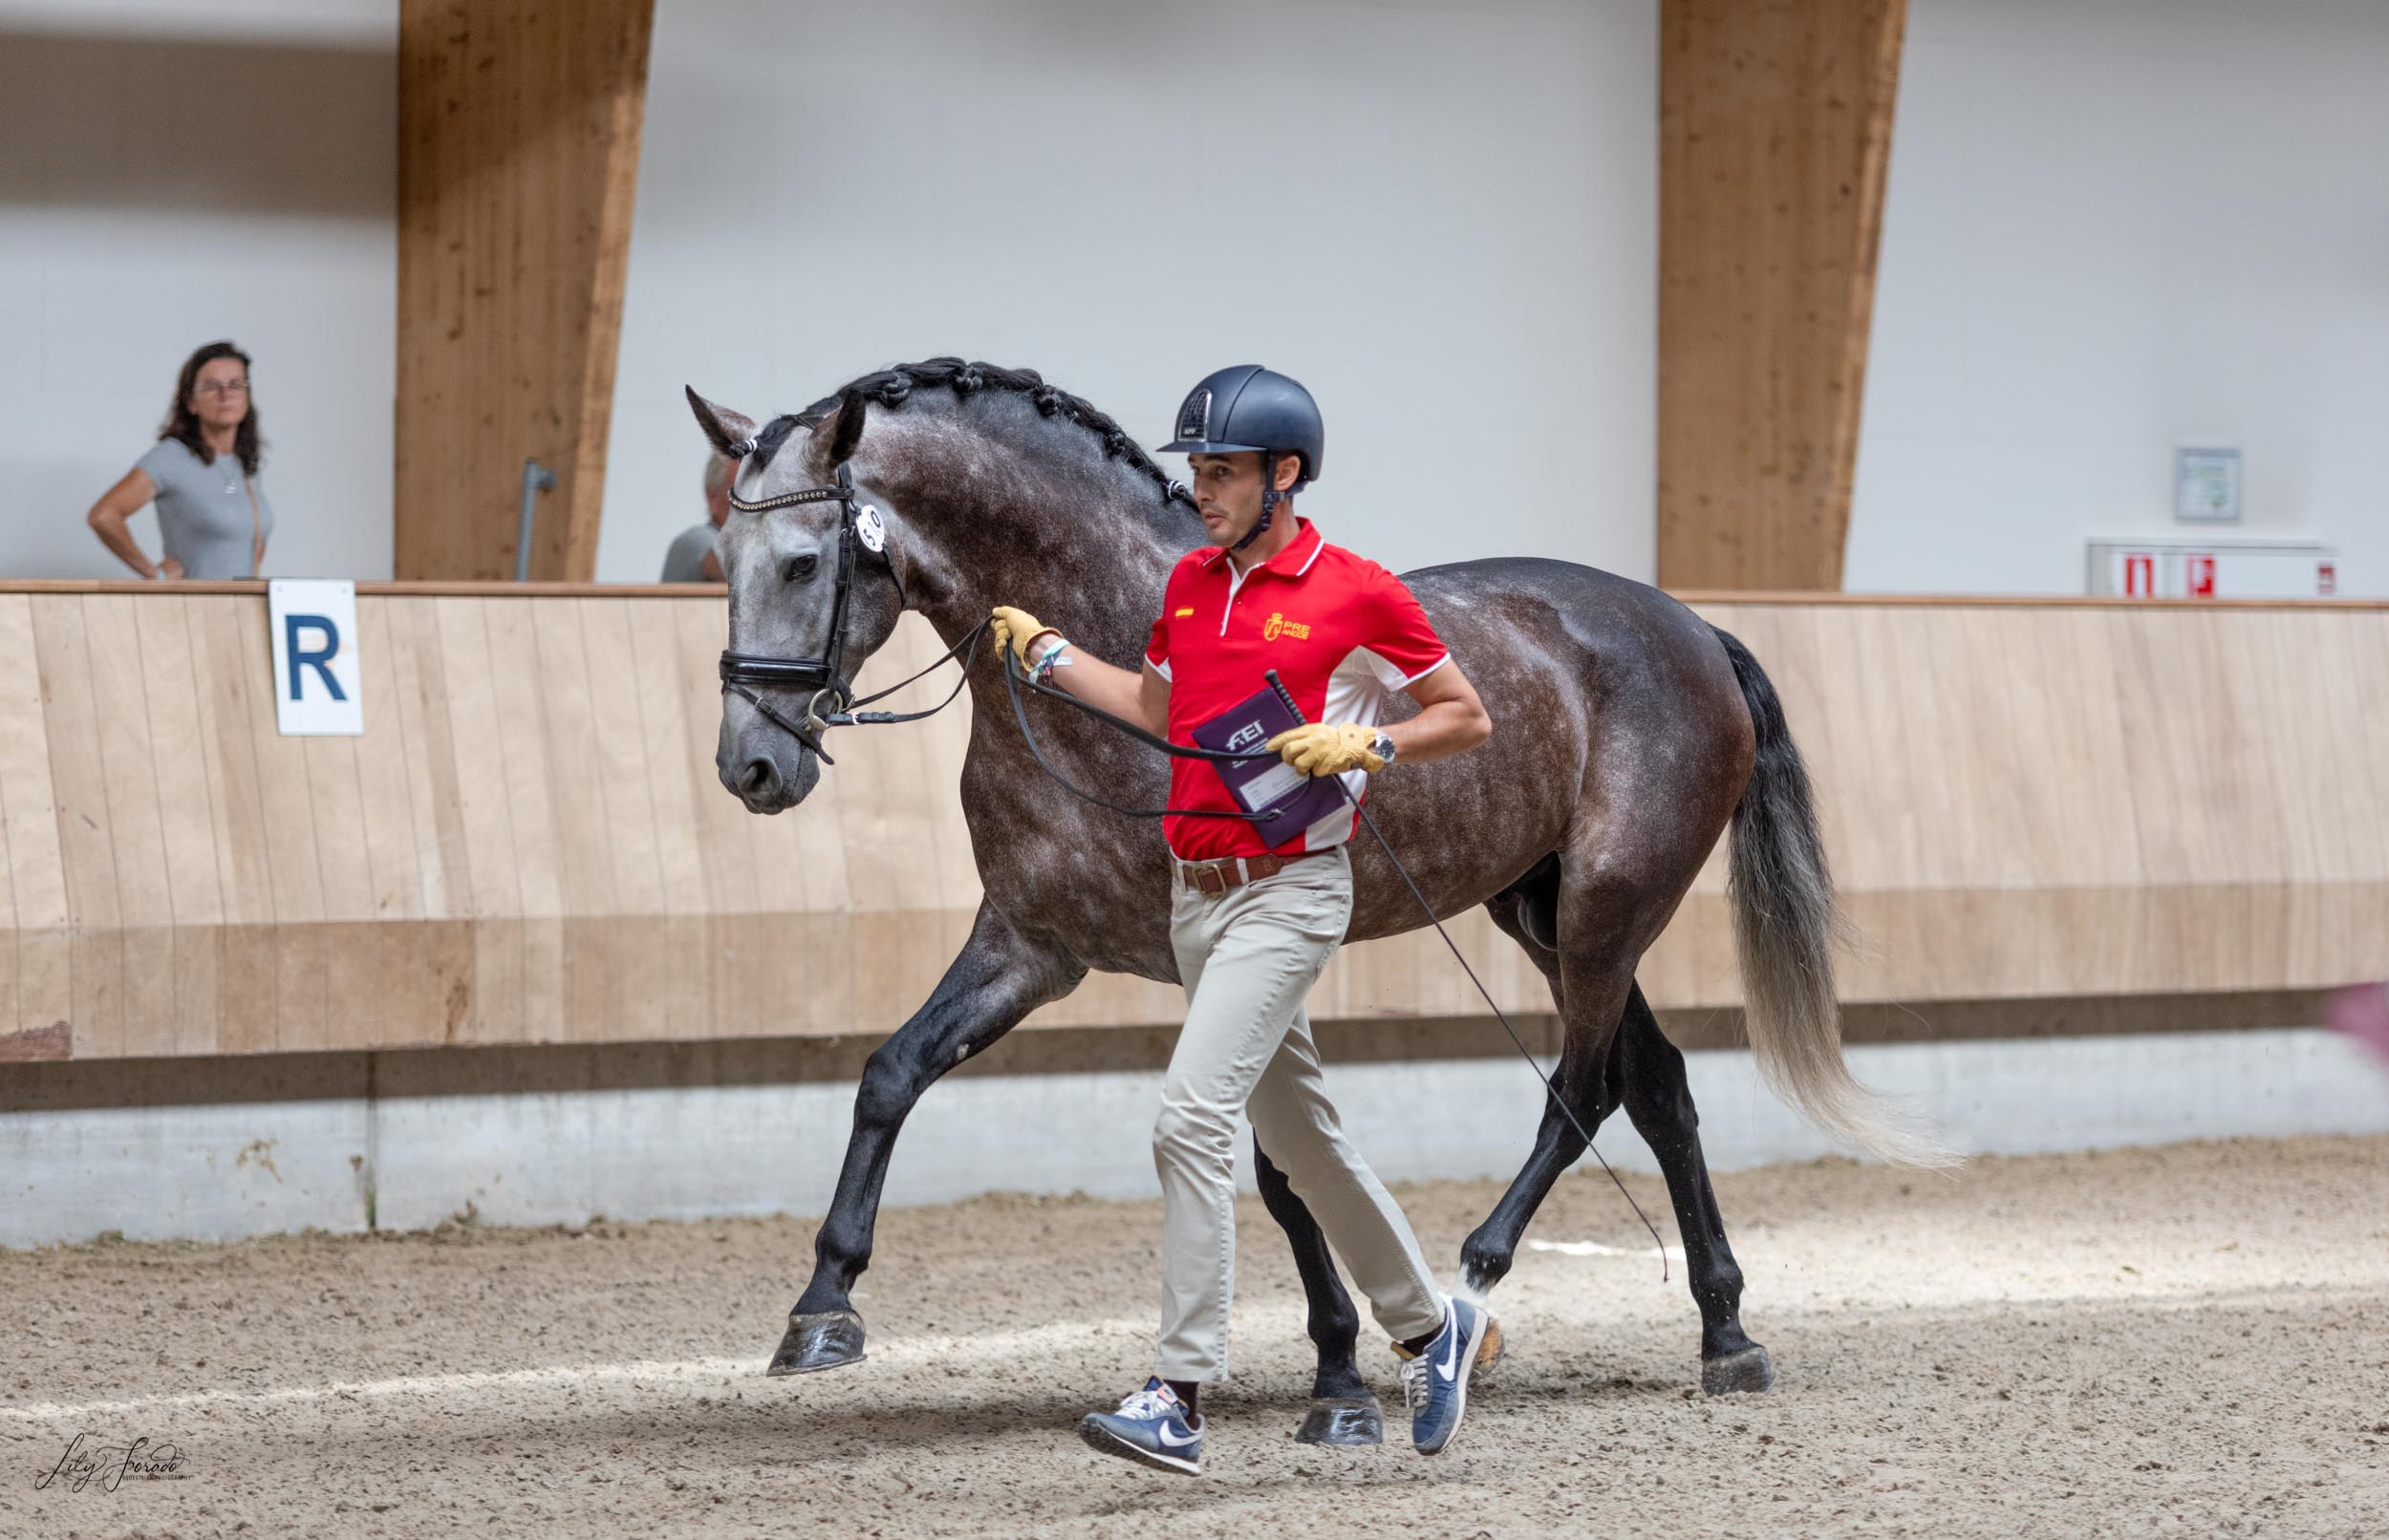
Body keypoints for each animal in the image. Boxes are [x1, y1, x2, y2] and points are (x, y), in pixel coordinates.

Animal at [688, 357, 1940, 1442]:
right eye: (720, 556)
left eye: (800, 562)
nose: (752, 766)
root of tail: (1694, 626)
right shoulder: (1032, 944)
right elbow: (891, 1073)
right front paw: (821, 1309)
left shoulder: (1222, 960)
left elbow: (1280, 1169)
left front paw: (1339, 1374)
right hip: (1541, 916)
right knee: (1659, 1085)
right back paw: (1725, 1332)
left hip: (1605, 908)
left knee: (1584, 1089)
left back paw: (1475, 1286)